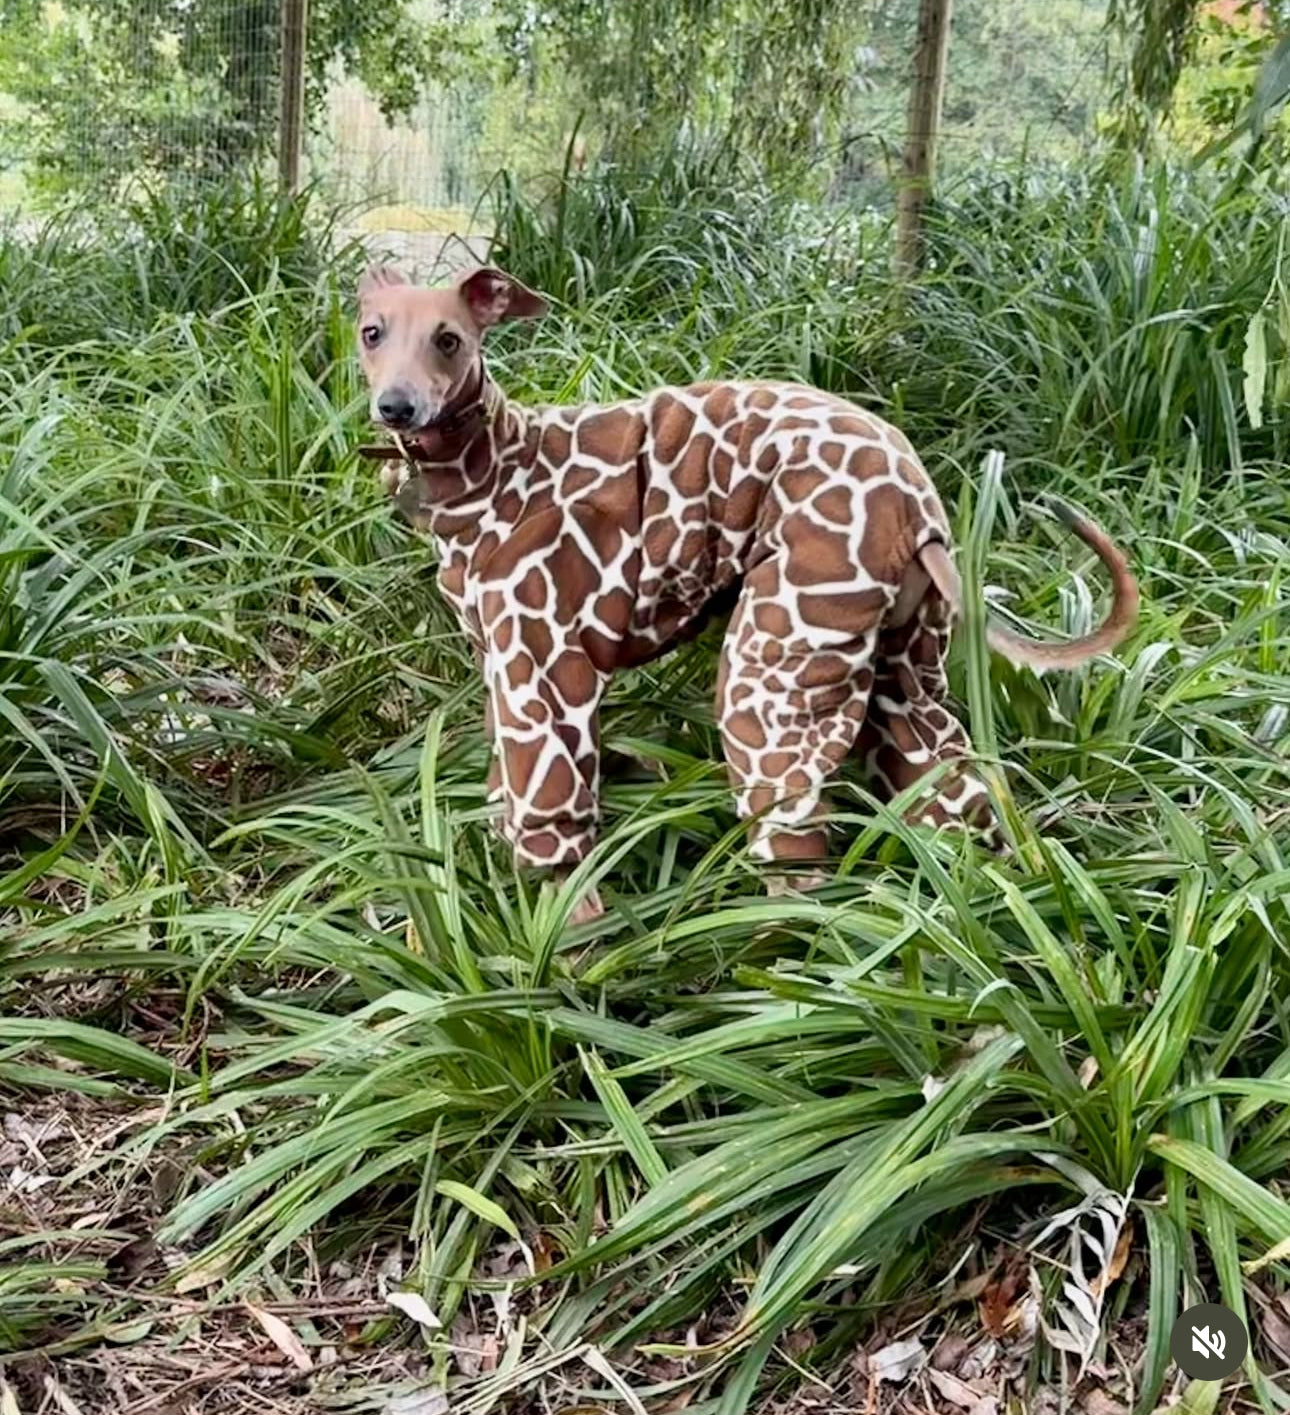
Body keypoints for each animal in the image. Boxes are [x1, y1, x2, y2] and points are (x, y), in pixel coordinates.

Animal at [355, 264, 1139, 920]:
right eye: (372, 332)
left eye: (449, 339)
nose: (396, 408)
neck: (494, 468)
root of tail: (916, 505)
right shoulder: (502, 669)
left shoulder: (545, 675)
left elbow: (555, 836)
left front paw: (564, 947)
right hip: (907, 676)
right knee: (953, 792)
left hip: (773, 670)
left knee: (795, 850)